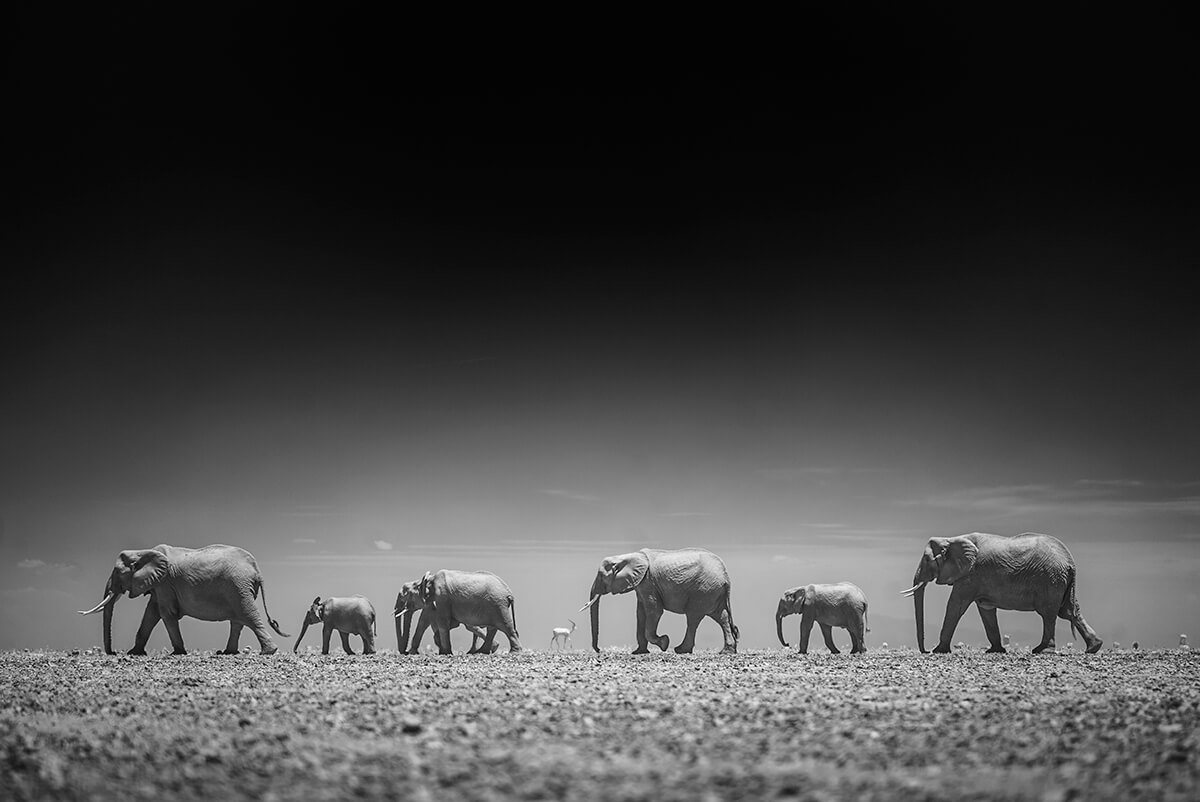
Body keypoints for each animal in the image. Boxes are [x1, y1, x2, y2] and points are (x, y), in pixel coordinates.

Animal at [77, 542, 290, 653]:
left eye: (117, 573)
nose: (112, 652)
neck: (143, 551)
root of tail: (256, 570)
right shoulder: (160, 585)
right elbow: (151, 614)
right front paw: (135, 653)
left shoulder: (165, 583)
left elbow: (166, 613)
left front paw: (178, 652)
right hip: (239, 588)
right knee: (238, 620)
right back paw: (228, 652)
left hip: (238, 587)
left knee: (248, 616)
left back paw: (268, 652)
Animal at [578, 547, 734, 653]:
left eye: (601, 577)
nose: (599, 650)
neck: (629, 556)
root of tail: (726, 576)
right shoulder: (641, 584)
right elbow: (640, 613)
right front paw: (639, 652)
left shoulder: (648, 582)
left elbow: (654, 611)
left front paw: (664, 643)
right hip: (712, 591)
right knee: (721, 616)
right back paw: (727, 652)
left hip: (703, 589)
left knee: (693, 618)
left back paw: (680, 650)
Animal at [902, 528, 1099, 653]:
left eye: (926, 560)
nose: (925, 651)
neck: (952, 538)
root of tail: (1070, 562)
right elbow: (986, 610)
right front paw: (995, 651)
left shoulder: (970, 575)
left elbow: (955, 606)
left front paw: (939, 651)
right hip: (1060, 581)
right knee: (1069, 612)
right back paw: (1094, 647)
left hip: (1050, 579)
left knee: (1049, 613)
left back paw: (1042, 651)